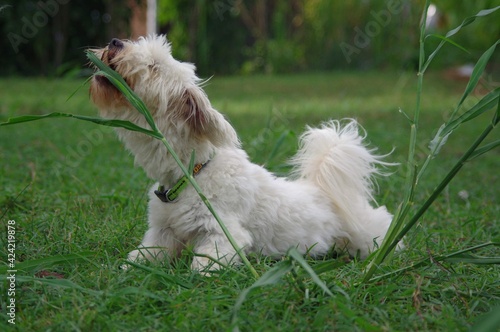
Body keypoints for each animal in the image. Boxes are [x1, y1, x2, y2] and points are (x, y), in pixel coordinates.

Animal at [89, 35, 394, 272]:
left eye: (154, 67)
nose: (115, 42)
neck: (192, 174)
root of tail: (325, 191)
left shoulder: (225, 234)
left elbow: (202, 266)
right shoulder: (162, 233)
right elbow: (140, 258)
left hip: (364, 235)